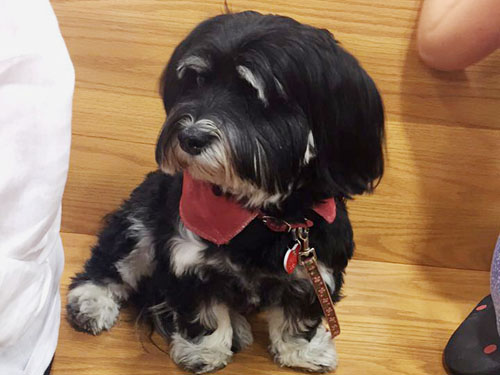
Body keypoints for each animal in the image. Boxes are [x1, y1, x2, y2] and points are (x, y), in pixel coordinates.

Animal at [66, 10, 384, 374]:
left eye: (255, 97)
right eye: (196, 81)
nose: (190, 137)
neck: (259, 216)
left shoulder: (316, 267)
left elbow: (300, 315)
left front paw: (303, 352)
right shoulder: (186, 259)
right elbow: (204, 314)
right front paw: (205, 352)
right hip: (140, 224)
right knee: (111, 264)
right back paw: (91, 301)